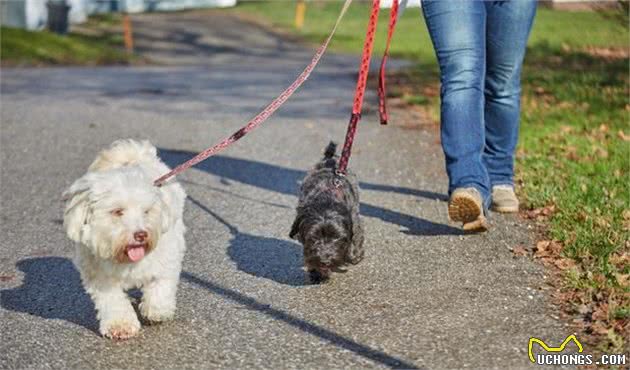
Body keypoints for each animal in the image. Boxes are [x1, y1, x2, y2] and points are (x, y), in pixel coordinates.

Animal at [64, 139, 188, 342]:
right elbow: (112, 300)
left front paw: (156, 310)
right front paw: (120, 325)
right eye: (117, 211)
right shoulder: (99, 276)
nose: (141, 234)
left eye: (146, 211)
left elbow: (161, 285)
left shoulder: (166, 259)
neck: (124, 258)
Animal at [292, 142, 366, 284]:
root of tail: (330, 159)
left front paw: (353, 255)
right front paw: (317, 273)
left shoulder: (354, 218)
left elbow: (356, 238)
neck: (327, 197)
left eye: (337, 238)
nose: (325, 261)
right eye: (314, 238)